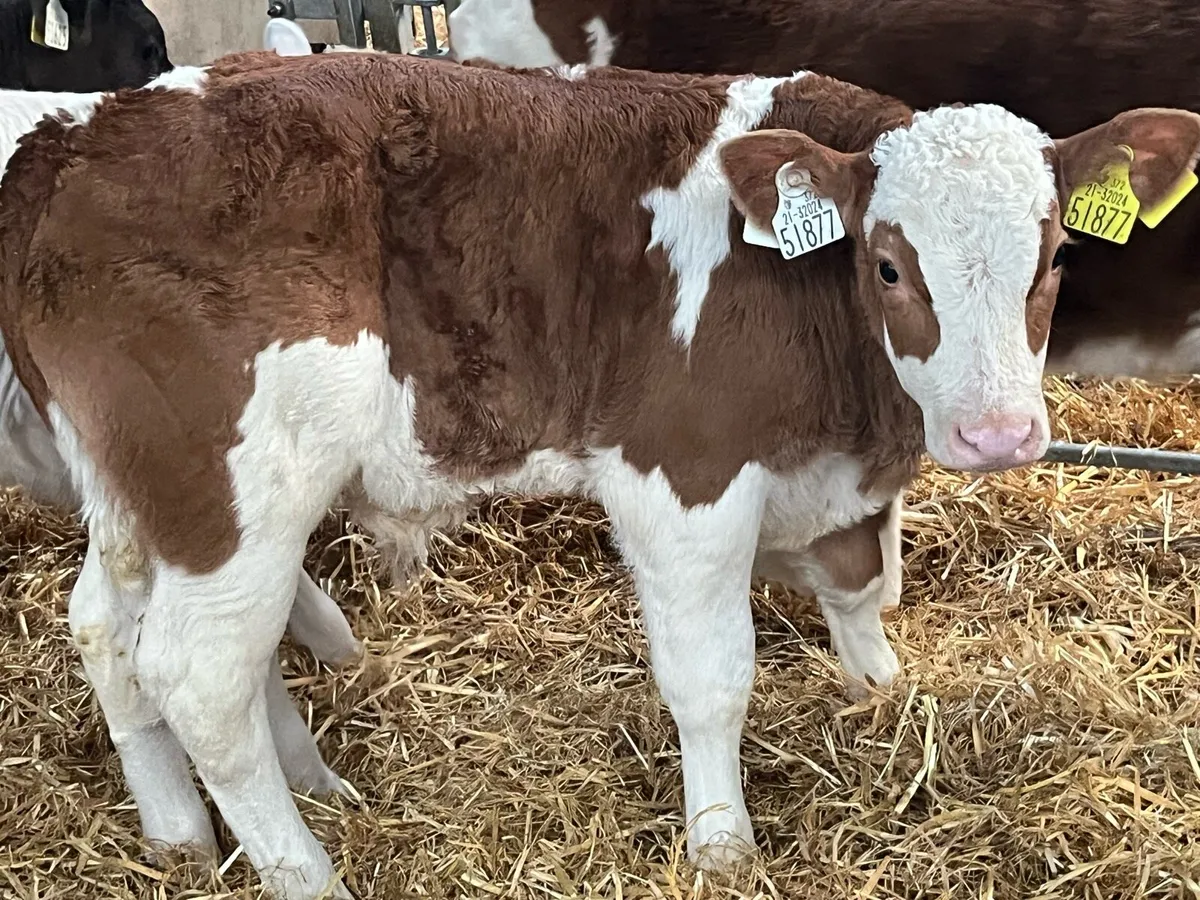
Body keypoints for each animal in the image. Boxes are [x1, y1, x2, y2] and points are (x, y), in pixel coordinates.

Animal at [1, 50, 1197, 898]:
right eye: (891, 265)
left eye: (1056, 256)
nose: (1000, 435)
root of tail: (81, 134)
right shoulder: (684, 476)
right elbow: (712, 678)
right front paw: (721, 847)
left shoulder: (837, 478)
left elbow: (862, 587)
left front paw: (882, 698)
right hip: (237, 487)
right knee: (202, 675)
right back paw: (308, 874)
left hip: (150, 497)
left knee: (113, 630)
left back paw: (199, 827)